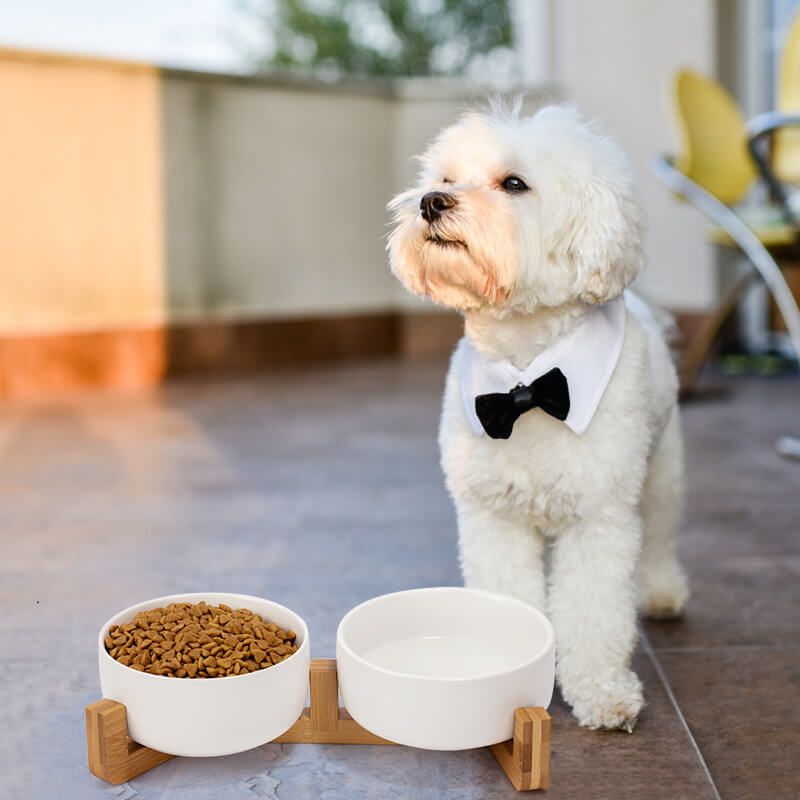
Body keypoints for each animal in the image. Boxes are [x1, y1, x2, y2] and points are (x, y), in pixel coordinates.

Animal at [388, 106, 688, 732]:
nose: (430, 201)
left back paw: (663, 591)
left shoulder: (599, 518)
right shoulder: (494, 519)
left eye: (514, 184)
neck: (526, 379)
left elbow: (595, 612)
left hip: (662, 472)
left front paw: (602, 693)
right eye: (446, 178)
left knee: (660, 534)